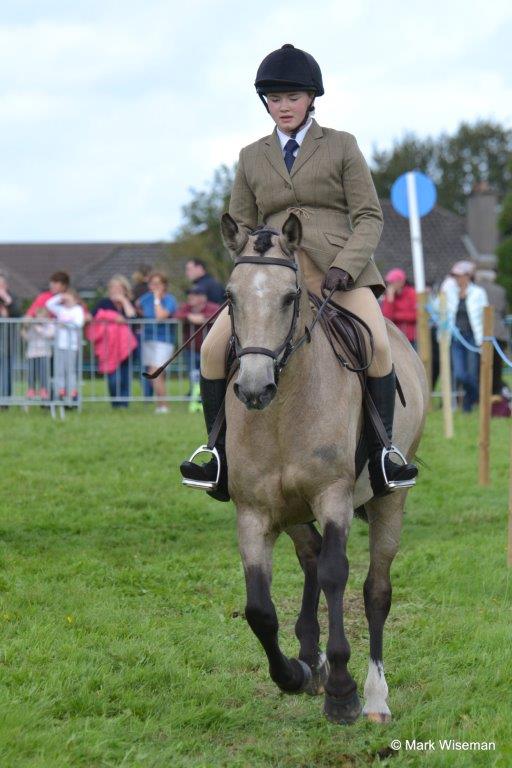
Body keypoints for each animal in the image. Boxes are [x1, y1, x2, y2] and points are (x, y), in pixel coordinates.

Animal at [219, 212, 428, 725]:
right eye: (230, 297)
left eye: (289, 297)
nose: (253, 389)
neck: (281, 410)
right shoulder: (254, 512)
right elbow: (259, 609)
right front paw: (293, 674)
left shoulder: (332, 495)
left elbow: (337, 575)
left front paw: (341, 691)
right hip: (291, 511)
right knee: (310, 555)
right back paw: (309, 658)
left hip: (391, 500)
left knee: (375, 590)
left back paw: (375, 697)